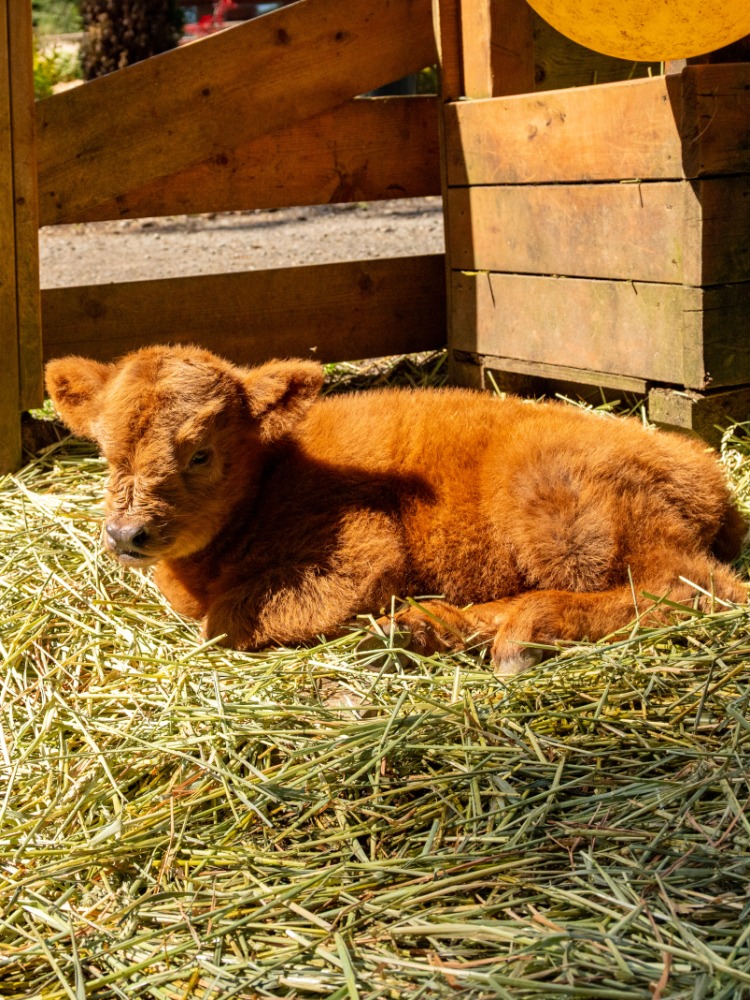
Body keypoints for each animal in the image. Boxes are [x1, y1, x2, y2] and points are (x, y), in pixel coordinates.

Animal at [45, 345, 747, 673]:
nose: (127, 534)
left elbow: (224, 623)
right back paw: (422, 630)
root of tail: (706, 472)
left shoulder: (357, 551)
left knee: (691, 588)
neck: (275, 471)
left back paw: (520, 636)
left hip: (575, 517)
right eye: (106, 452)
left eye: (200, 453)